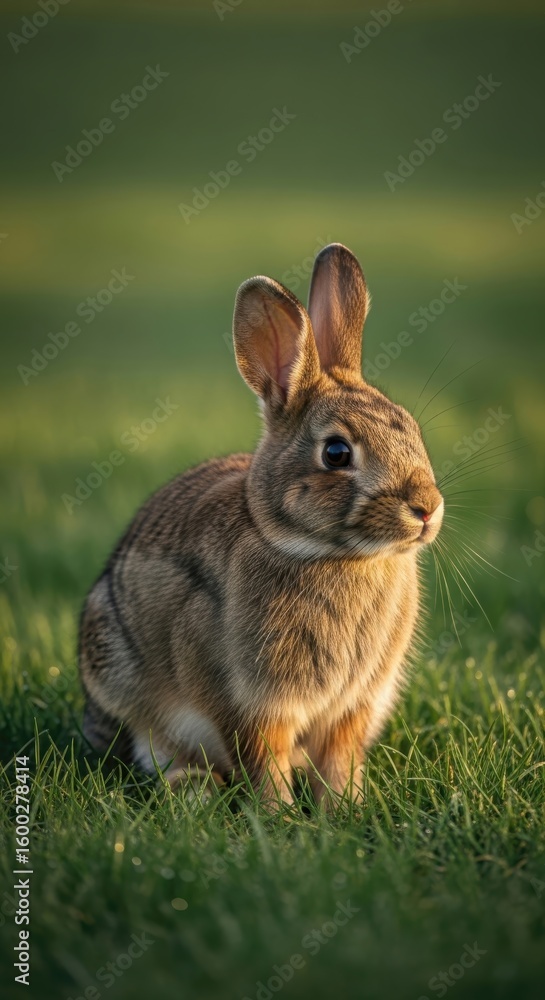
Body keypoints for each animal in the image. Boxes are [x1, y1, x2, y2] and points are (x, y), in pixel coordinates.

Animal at [79, 243, 443, 806]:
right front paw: (280, 814)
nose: (427, 508)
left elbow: (340, 758)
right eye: (336, 453)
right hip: (119, 675)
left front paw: (347, 807)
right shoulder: (249, 701)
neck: (330, 552)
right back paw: (193, 788)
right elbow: (261, 757)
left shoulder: (353, 705)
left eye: (410, 428)